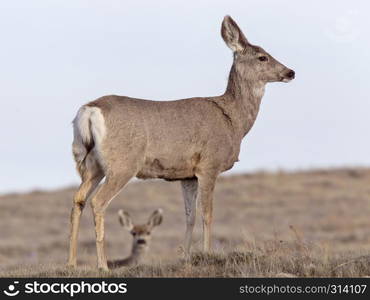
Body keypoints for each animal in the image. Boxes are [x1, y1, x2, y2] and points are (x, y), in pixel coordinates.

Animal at [68, 15, 296, 270]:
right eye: (262, 56)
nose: (291, 72)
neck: (233, 120)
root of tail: (90, 110)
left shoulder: (187, 174)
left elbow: (190, 216)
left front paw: (185, 256)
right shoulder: (209, 165)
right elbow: (207, 213)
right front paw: (207, 254)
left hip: (89, 163)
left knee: (78, 200)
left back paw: (71, 263)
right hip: (123, 163)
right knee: (98, 202)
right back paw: (102, 265)